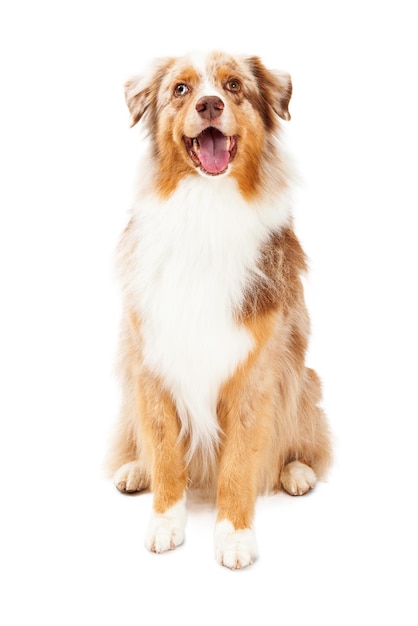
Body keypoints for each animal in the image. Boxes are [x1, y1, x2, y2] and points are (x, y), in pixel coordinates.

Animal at [108, 50, 334, 564]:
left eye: (233, 86)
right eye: (180, 89)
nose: (210, 104)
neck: (204, 209)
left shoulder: (257, 371)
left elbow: (239, 461)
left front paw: (233, 534)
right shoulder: (150, 360)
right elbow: (165, 450)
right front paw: (164, 520)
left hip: (303, 380)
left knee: (305, 443)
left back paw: (297, 472)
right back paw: (134, 469)